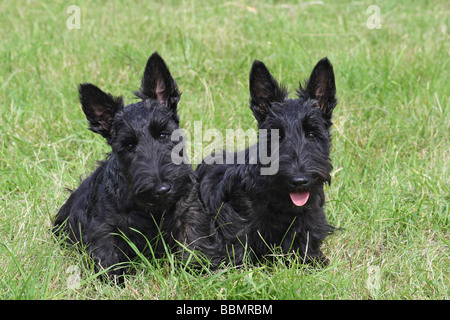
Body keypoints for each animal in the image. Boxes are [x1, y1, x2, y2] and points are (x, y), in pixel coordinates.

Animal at [53, 52, 218, 280]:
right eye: (129, 145)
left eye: (163, 134)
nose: (162, 189)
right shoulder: (105, 229)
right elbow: (109, 259)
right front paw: (112, 282)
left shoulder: (189, 212)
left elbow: (193, 243)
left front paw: (197, 271)